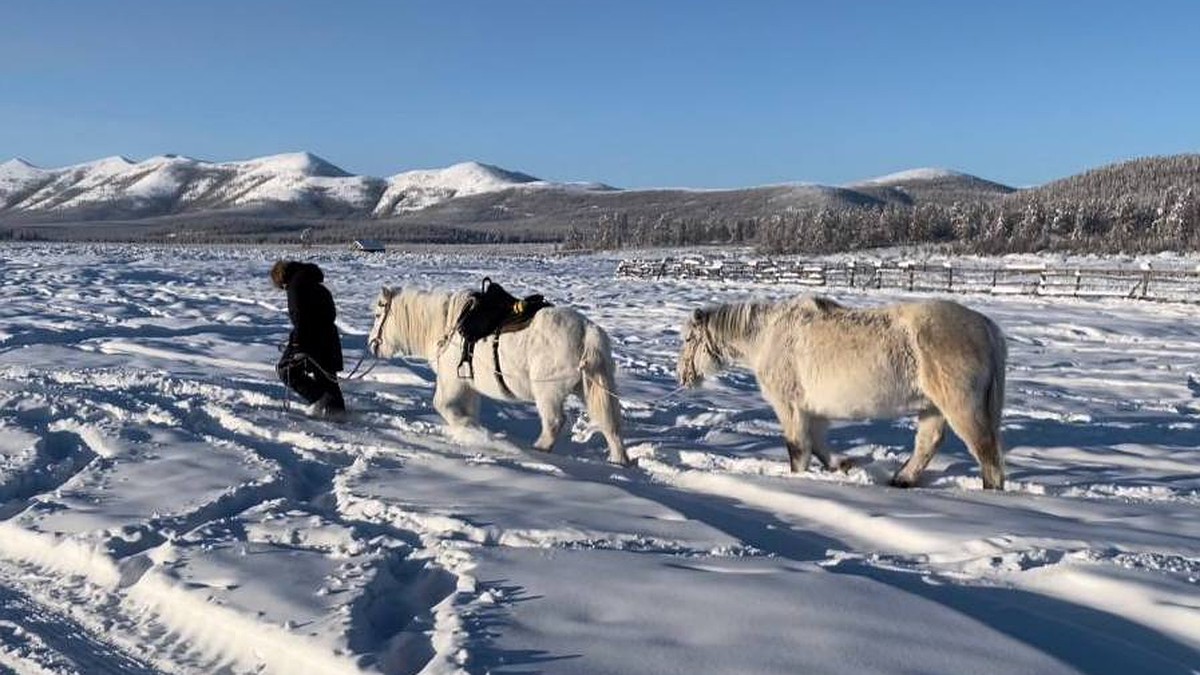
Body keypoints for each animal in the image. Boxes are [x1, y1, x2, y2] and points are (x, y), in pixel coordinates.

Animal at [367, 285, 633, 466]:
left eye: (379, 315)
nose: (372, 345)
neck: (447, 326)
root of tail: (588, 331)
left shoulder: (451, 384)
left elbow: (444, 407)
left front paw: (474, 433)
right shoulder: (468, 387)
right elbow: (468, 412)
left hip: (548, 393)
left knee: (554, 423)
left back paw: (536, 451)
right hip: (589, 387)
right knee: (610, 425)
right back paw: (618, 461)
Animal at [681, 294, 1008, 487]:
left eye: (687, 339)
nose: (683, 378)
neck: (766, 336)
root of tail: (986, 327)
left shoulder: (789, 407)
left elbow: (798, 450)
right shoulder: (812, 410)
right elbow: (817, 445)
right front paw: (844, 464)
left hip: (960, 407)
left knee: (987, 454)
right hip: (932, 407)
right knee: (928, 443)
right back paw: (901, 479)